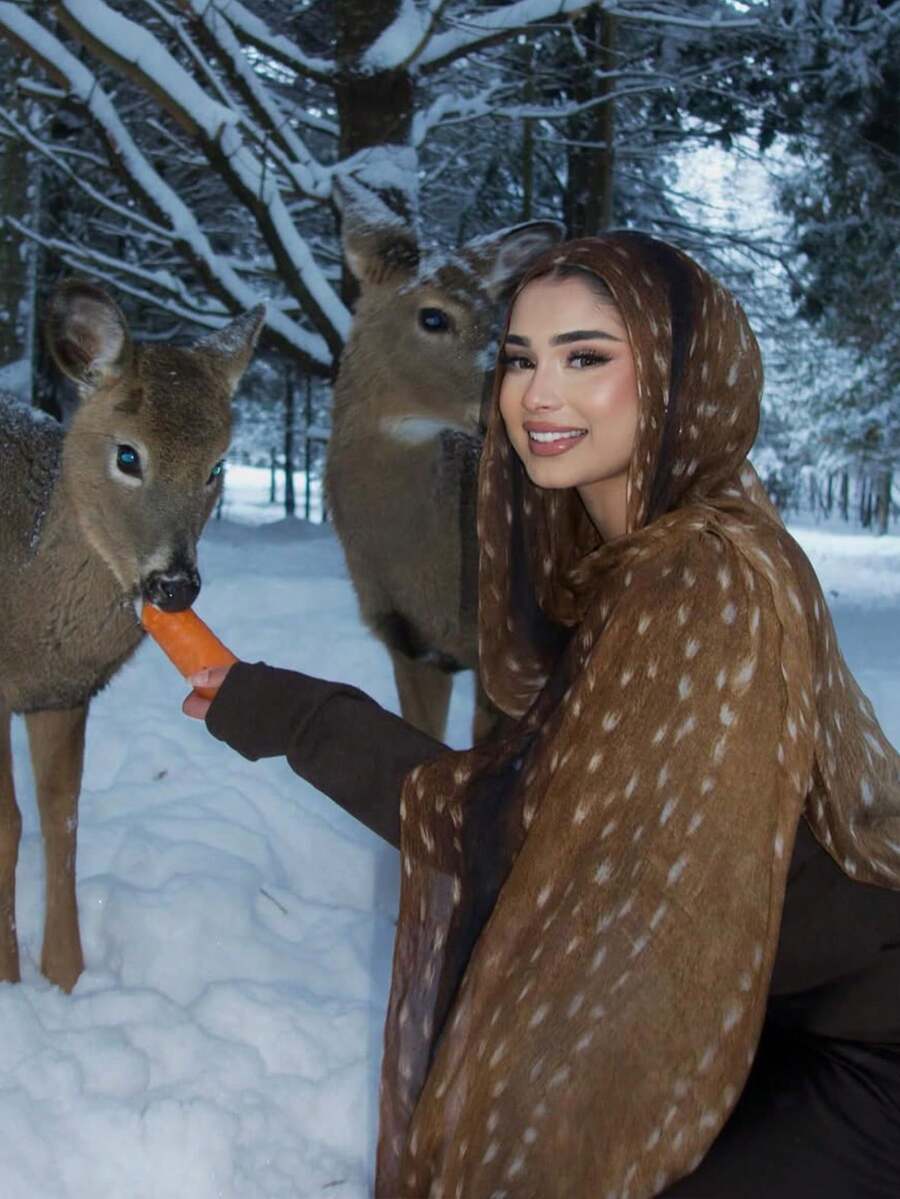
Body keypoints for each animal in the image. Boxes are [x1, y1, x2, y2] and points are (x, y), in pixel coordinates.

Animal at [0, 281, 264, 992]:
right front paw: (7, 978)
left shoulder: (63, 692)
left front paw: (65, 976)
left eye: (217, 465)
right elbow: (8, 823)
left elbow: (60, 818)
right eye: (127, 455)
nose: (174, 586)